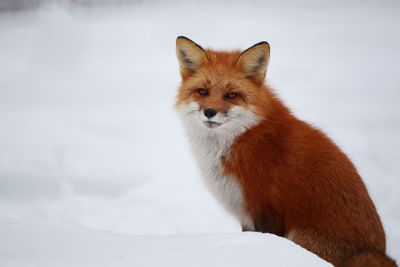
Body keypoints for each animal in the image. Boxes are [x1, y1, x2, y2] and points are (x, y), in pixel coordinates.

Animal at [174, 36, 396, 267]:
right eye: (203, 92)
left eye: (231, 95)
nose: (210, 112)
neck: (242, 138)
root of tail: (374, 250)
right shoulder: (247, 215)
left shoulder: (266, 208)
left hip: (299, 235)